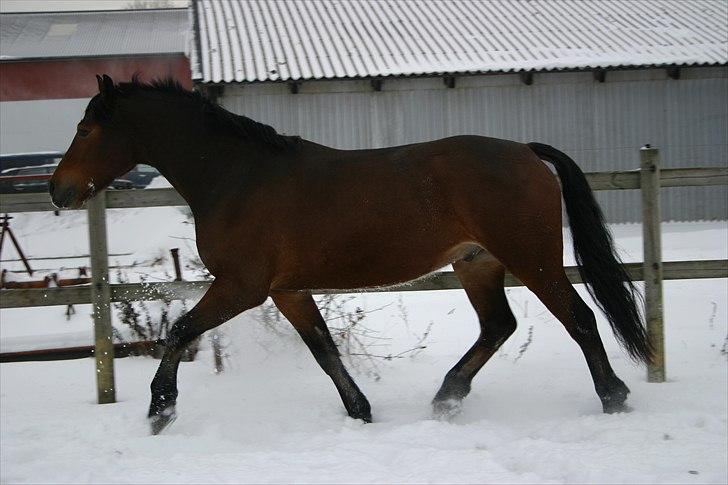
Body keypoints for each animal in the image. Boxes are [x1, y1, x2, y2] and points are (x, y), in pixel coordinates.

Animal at [48, 76, 648, 434]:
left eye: (85, 127)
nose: (58, 190)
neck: (237, 177)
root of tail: (526, 151)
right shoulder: (286, 290)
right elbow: (324, 350)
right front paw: (360, 412)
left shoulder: (242, 287)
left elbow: (178, 331)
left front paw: (160, 409)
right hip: (477, 263)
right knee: (498, 326)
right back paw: (446, 398)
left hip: (532, 258)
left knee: (579, 318)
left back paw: (614, 398)